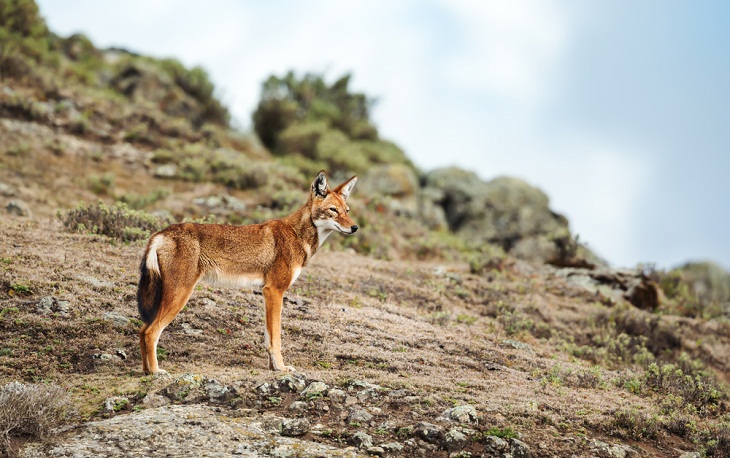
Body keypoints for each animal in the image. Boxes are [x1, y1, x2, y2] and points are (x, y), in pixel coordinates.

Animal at [136, 170, 356, 374]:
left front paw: (273, 367)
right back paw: (156, 373)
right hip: (179, 295)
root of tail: (161, 233)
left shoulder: (267, 293)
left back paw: (146, 371)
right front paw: (281, 368)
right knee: (151, 332)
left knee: (142, 329)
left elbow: (269, 338)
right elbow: (276, 338)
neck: (297, 235)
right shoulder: (274, 291)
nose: (355, 227)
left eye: (346, 210)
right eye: (333, 210)